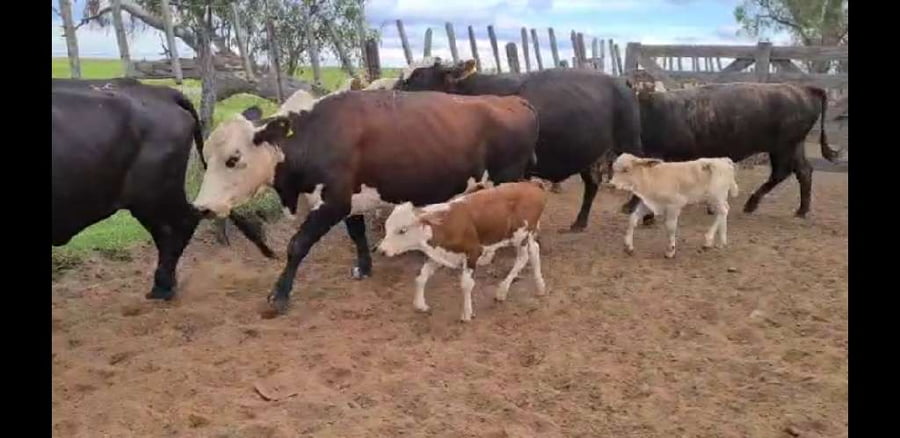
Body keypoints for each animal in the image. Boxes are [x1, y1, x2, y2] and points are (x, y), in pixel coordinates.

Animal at [375, 181, 548, 322]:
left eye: (402, 230)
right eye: (387, 227)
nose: (381, 250)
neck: (445, 224)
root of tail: (531, 184)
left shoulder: (473, 252)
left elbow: (466, 284)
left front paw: (466, 313)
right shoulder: (438, 254)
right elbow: (421, 277)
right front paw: (420, 304)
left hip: (521, 235)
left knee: (523, 258)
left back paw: (502, 291)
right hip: (527, 235)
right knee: (535, 250)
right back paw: (540, 287)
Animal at [395, 58, 643, 232]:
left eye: (417, 77)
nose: (393, 93)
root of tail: (621, 81)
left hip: (627, 143)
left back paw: (637, 210)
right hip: (588, 153)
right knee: (592, 185)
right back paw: (579, 223)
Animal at [608, 153, 739, 259]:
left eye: (626, 170)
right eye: (614, 169)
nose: (611, 185)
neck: (651, 178)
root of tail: (723, 160)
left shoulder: (674, 205)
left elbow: (670, 227)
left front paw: (670, 251)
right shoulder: (649, 204)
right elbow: (632, 219)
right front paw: (628, 246)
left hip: (716, 196)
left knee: (723, 211)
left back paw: (708, 241)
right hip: (717, 198)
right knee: (724, 211)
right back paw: (721, 241)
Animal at [622, 82, 844, 221]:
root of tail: (805, 89)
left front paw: (631, 207)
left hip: (785, 147)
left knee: (786, 172)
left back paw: (760, 205)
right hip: (792, 147)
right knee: (802, 172)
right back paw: (797, 210)